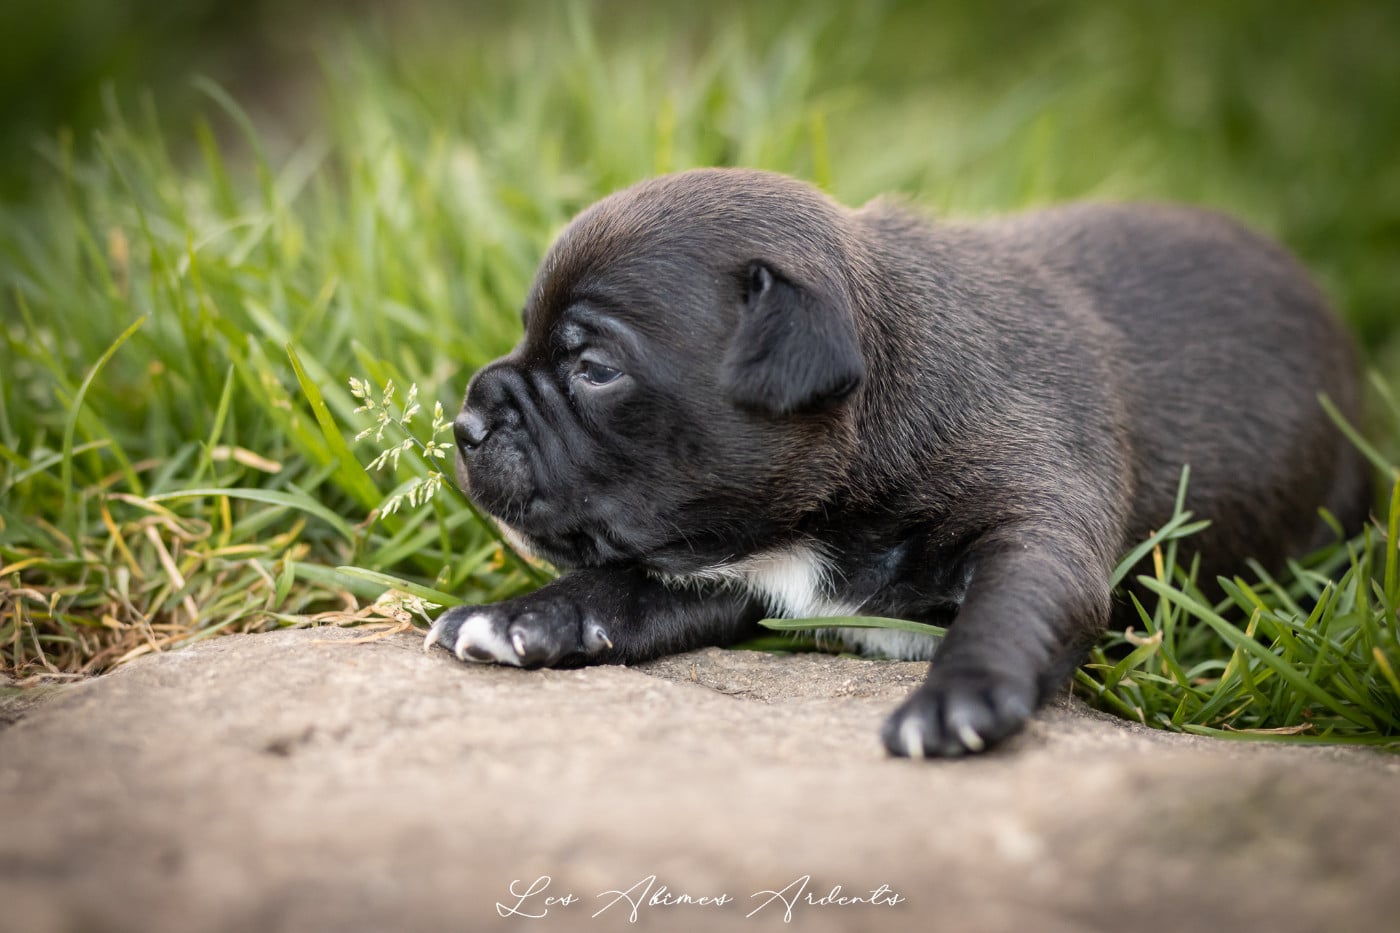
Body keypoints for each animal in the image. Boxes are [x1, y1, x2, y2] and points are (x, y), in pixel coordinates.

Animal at [424, 168, 1370, 757]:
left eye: (594, 367)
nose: (465, 421)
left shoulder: (1032, 512)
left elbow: (1014, 603)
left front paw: (959, 697)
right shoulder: (723, 563)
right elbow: (617, 587)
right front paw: (521, 616)